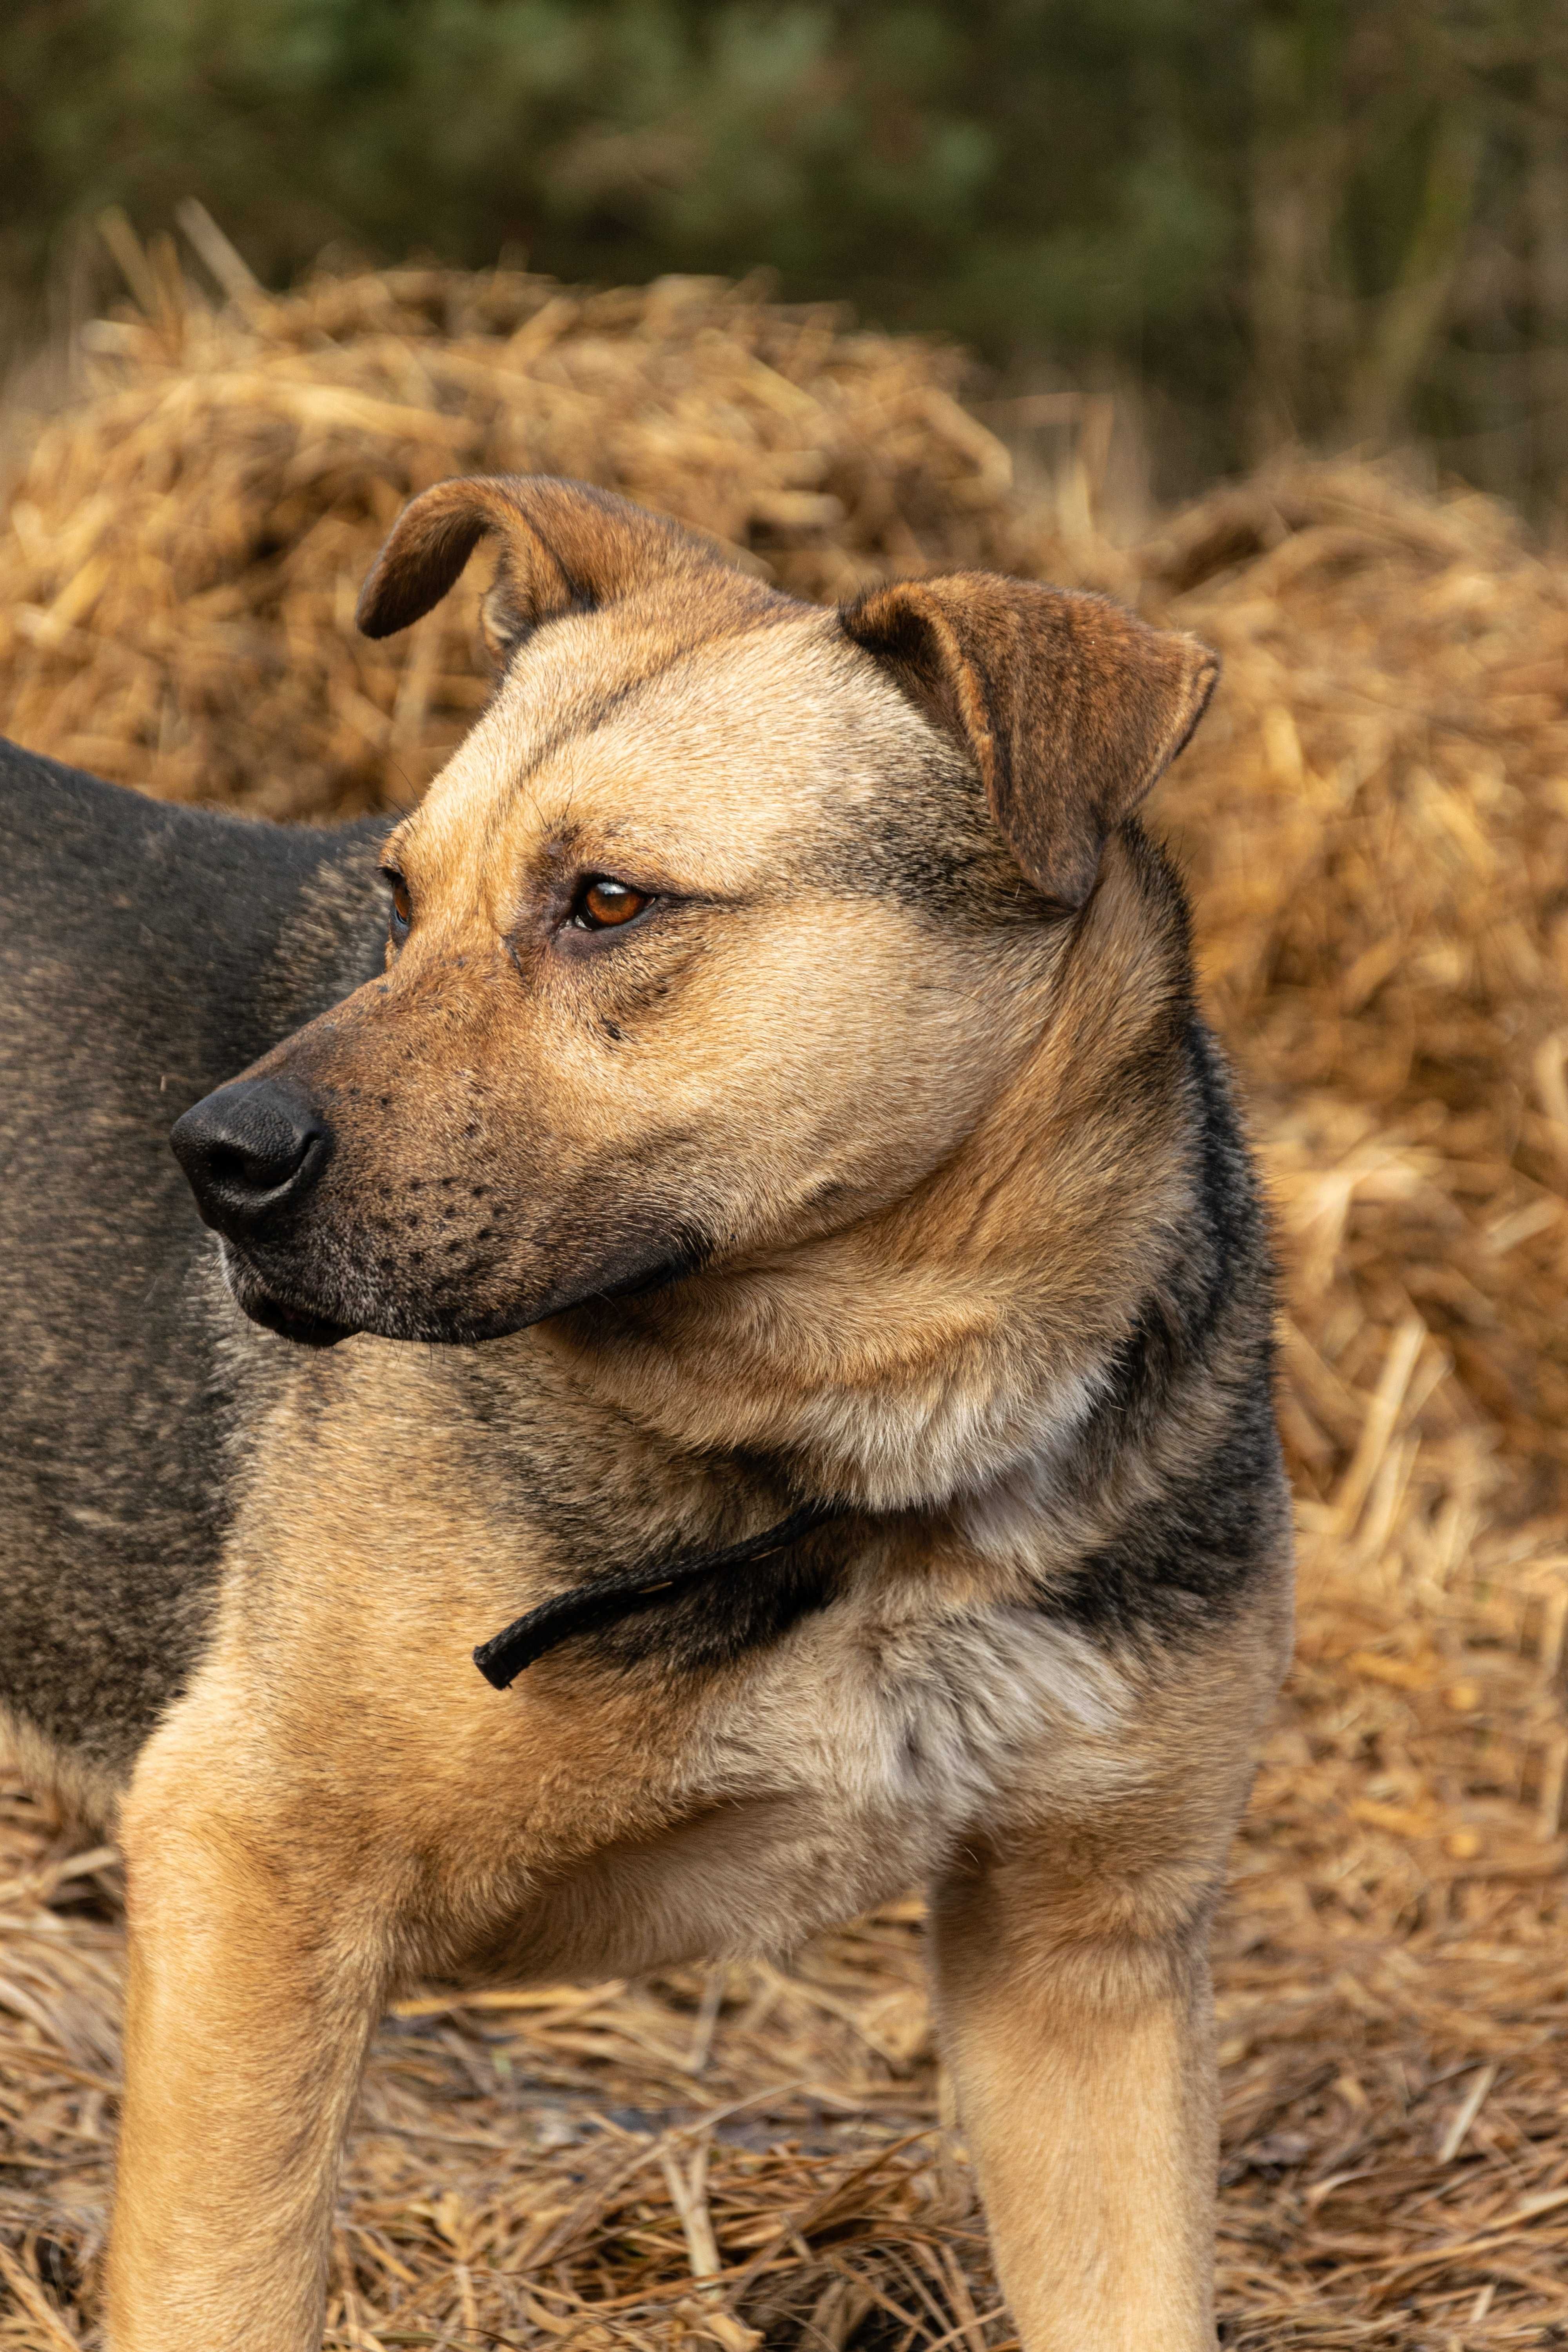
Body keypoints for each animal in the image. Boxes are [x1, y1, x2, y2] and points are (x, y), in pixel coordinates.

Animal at [0, 468, 1288, 2343]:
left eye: (607, 902)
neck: (881, 1459)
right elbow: (222, 2287)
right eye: (398, 897)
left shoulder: (1086, 1950)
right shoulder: (251, 1866)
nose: (211, 1159)